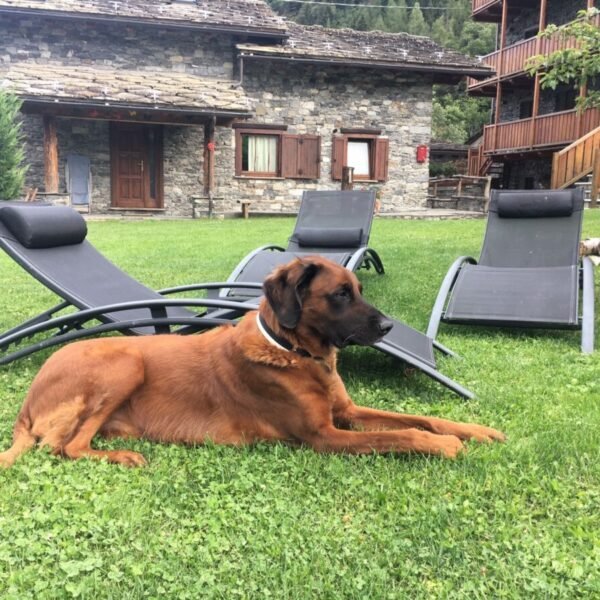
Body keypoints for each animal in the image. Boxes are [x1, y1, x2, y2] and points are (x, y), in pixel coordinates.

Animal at [0, 255, 504, 466]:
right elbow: (401, 435)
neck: (293, 352)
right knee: (68, 447)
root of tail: (26, 405)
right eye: (340, 295)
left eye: (359, 289)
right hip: (125, 362)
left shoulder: (346, 412)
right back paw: (125, 456)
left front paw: (475, 430)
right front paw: (442, 445)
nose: (387, 328)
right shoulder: (323, 436)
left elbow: (420, 417)